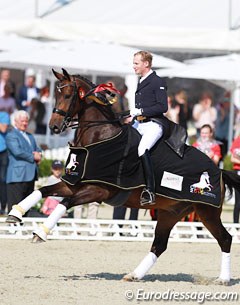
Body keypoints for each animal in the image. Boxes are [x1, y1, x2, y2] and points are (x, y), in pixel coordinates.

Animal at [6, 68, 240, 282]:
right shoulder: (75, 183)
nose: (54, 126)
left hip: (206, 212)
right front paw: (15, 214)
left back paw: (224, 279)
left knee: (225, 239)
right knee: (159, 245)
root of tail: (218, 170)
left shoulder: (98, 190)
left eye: (69, 95)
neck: (99, 138)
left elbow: (66, 202)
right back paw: (134, 275)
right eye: (56, 93)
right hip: (171, 212)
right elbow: (43, 190)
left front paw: (41, 232)